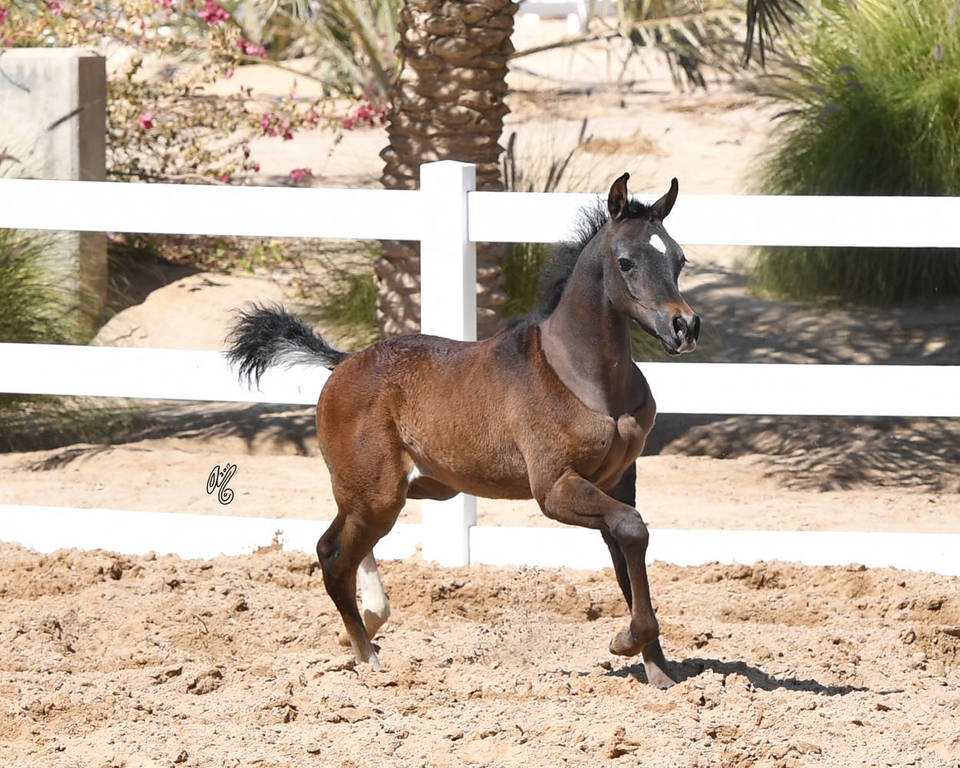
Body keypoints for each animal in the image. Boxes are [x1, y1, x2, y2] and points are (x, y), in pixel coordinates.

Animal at [226, 173, 700, 688]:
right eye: (626, 261)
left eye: (679, 258)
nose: (684, 326)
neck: (586, 378)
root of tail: (342, 362)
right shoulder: (554, 489)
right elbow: (632, 530)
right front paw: (626, 642)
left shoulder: (618, 482)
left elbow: (626, 553)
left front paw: (659, 671)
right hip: (376, 494)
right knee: (334, 555)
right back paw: (369, 658)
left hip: (389, 492)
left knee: (339, 546)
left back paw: (368, 626)